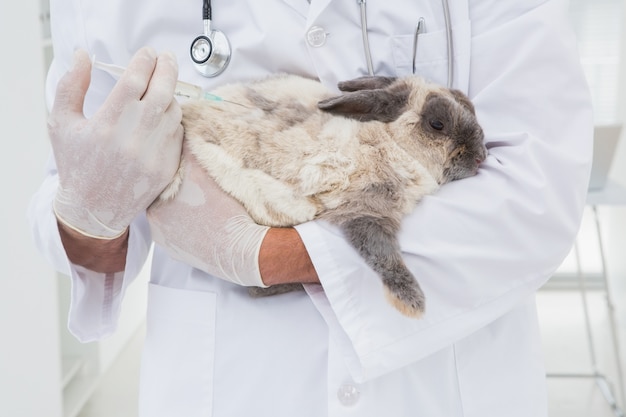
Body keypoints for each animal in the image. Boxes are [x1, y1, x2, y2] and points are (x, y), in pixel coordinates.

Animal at [156, 73, 488, 316]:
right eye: (437, 124)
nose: (482, 156)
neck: (393, 144)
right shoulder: (365, 212)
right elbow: (382, 254)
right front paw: (412, 301)